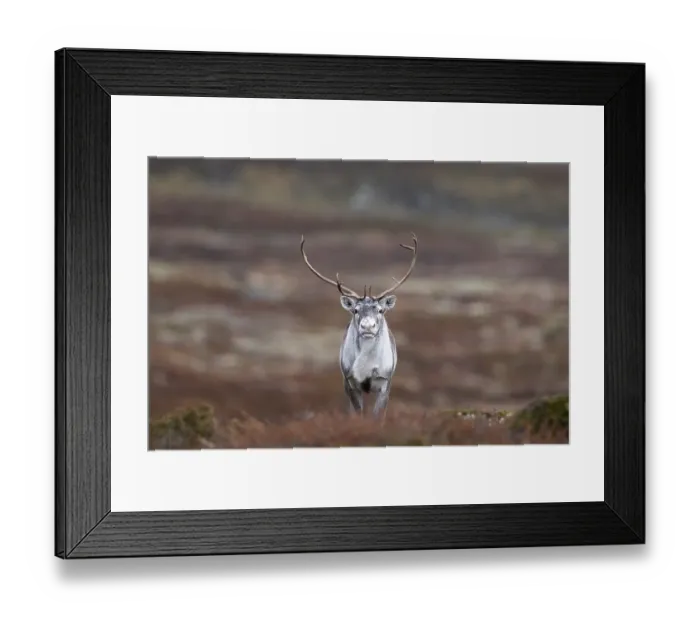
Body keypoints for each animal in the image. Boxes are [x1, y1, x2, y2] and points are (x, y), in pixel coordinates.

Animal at [300, 233, 418, 420]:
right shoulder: (350, 383)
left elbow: (378, 417)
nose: (367, 326)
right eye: (355, 310)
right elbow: (357, 415)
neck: (366, 365)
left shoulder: (385, 383)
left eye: (380, 310)